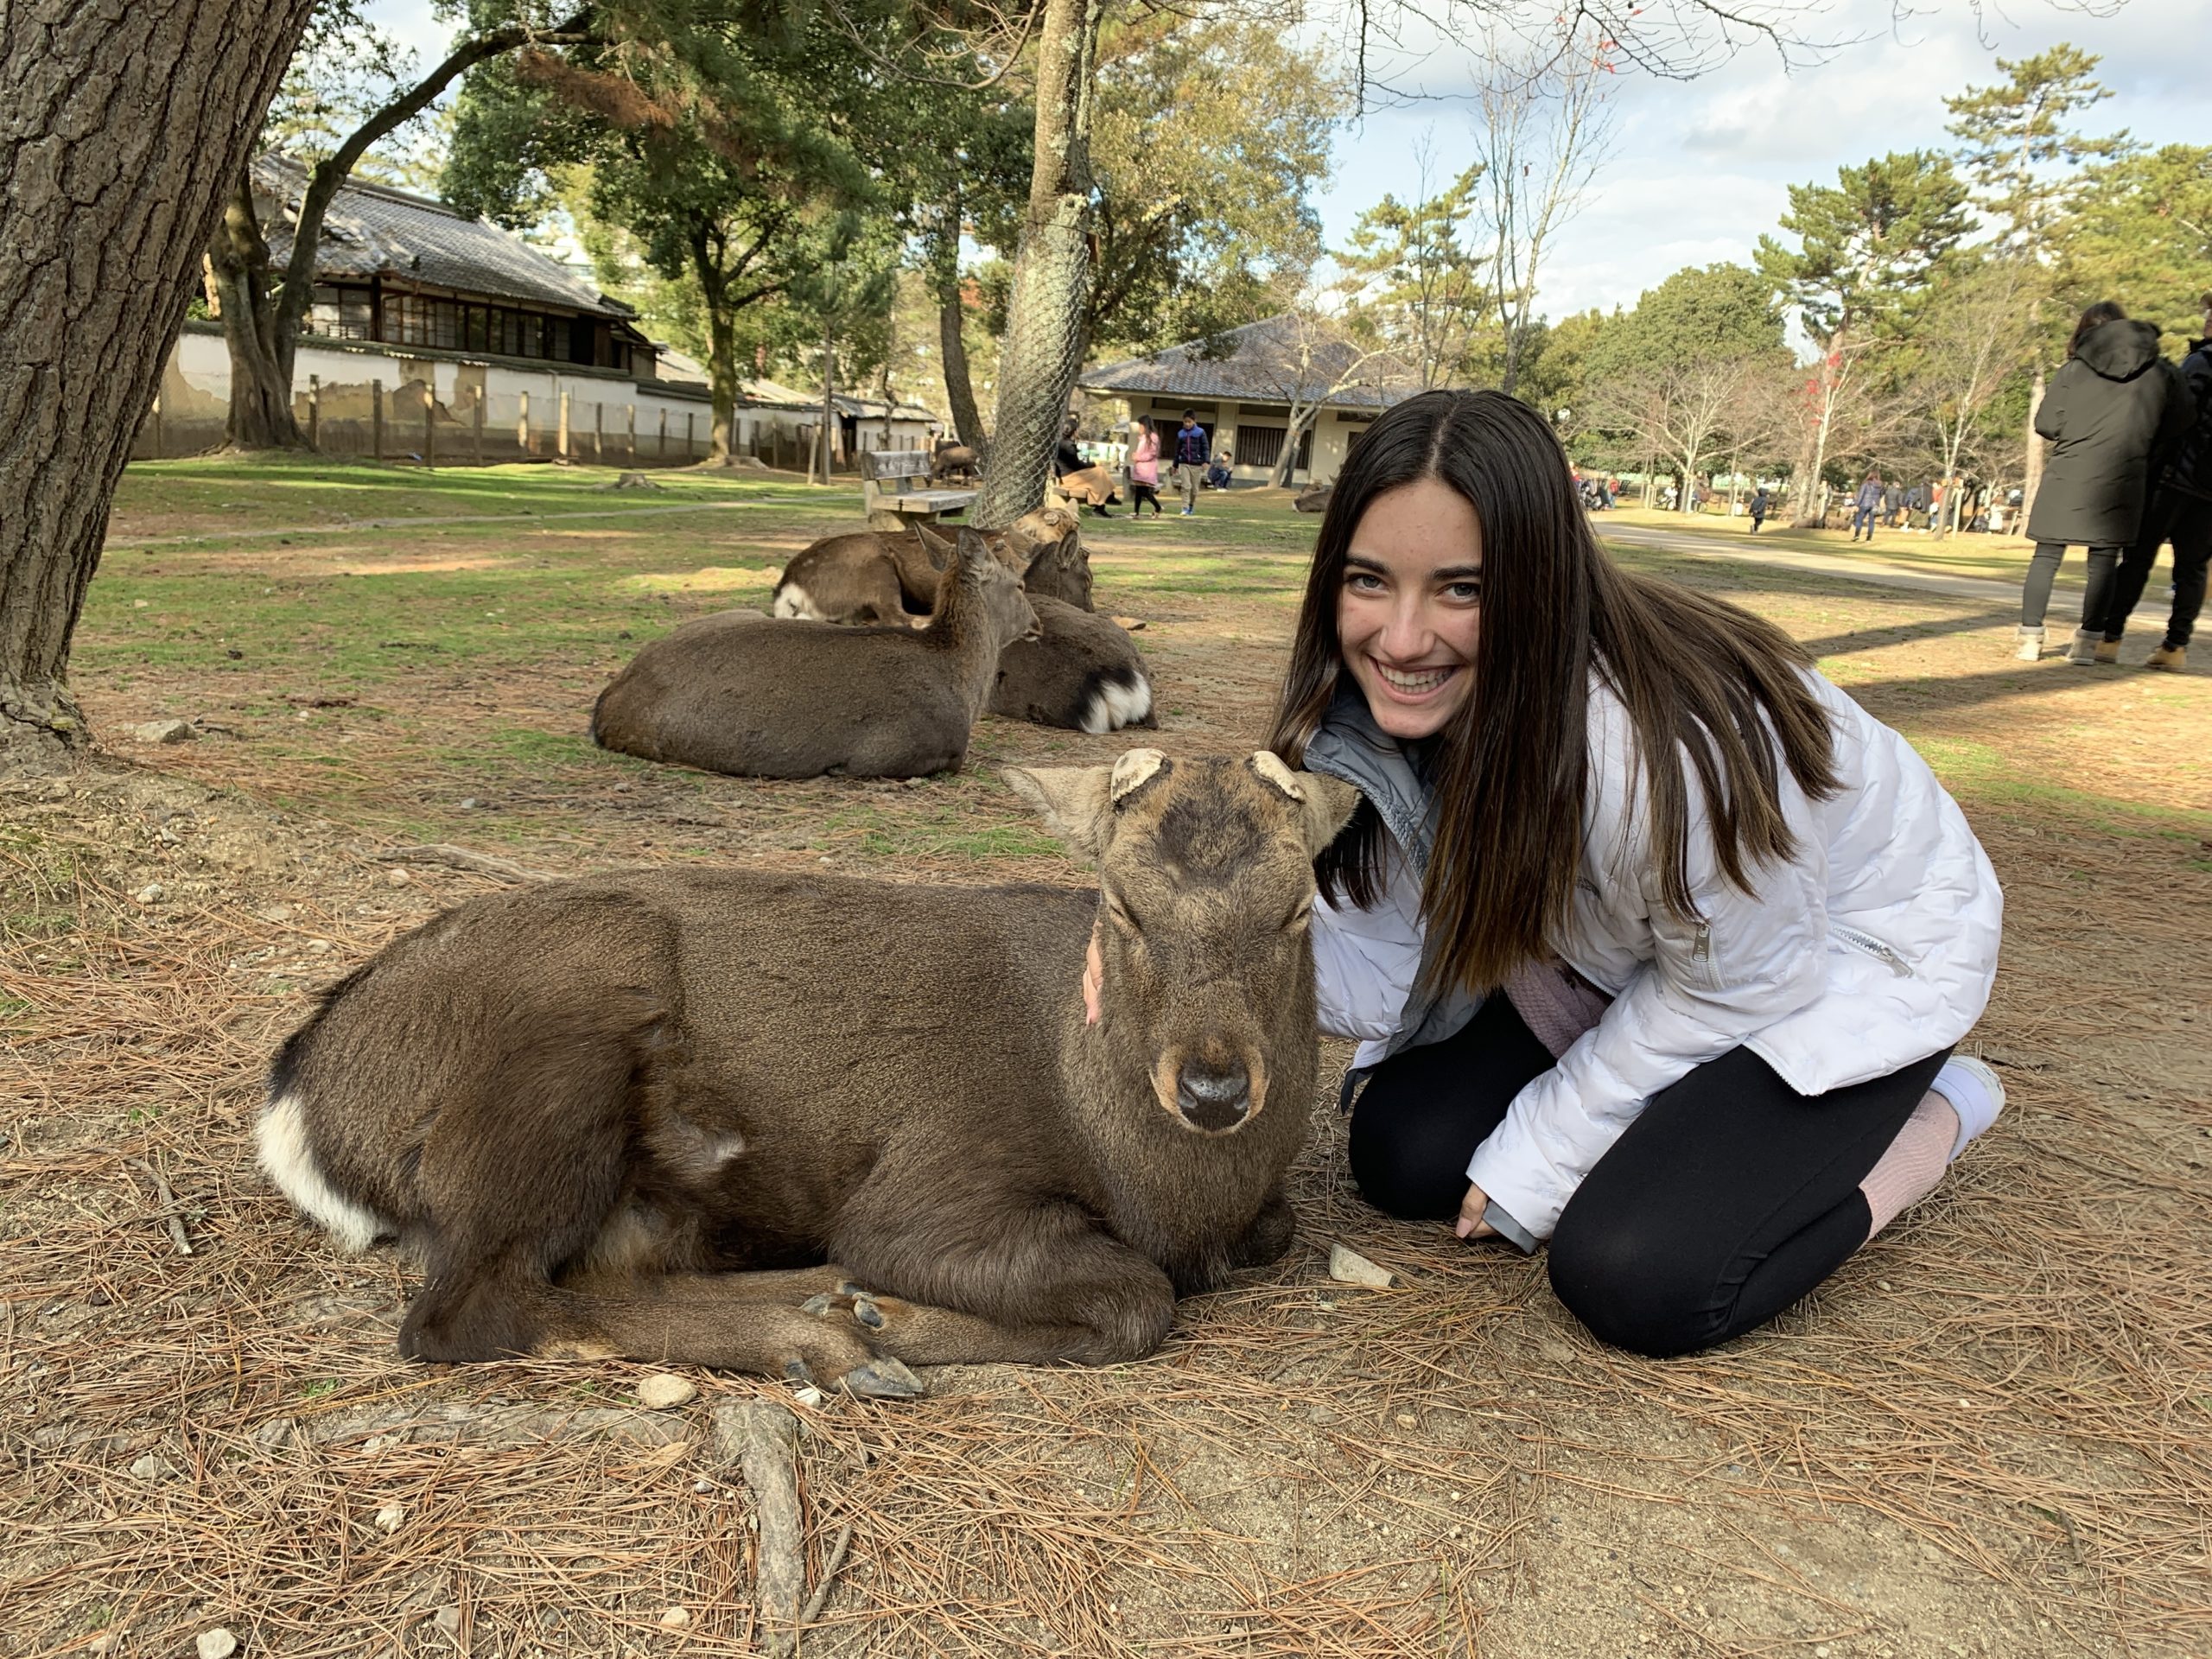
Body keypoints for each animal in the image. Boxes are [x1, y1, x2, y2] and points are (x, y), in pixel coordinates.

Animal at [265, 752, 1353, 1389]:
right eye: (1120, 905)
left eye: (1300, 908)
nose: (1214, 1090)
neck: (1167, 1192)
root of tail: (307, 1097)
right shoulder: (932, 1184)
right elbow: (1137, 1296)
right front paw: (896, 1320)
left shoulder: (1258, 1217)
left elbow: (1263, 1239)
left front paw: (877, 1310)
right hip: (566, 1041)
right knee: (467, 1309)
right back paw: (831, 1338)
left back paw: (821, 1307)